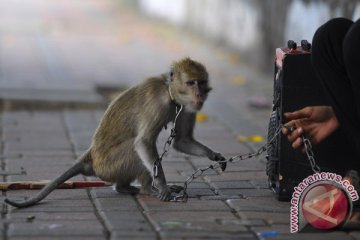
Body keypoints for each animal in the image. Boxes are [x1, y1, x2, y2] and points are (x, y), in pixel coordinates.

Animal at [4, 57, 225, 207]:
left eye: (202, 83)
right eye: (191, 83)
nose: (200, 94)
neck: (169, 93)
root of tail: (91, 157)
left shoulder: (186, 108)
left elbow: (182, 140)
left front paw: (213, 155)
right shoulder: (158, 105)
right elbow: (143, 142)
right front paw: (162, 186)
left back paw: (125, 187)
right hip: (110, 166)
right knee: (135, 149)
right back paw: (146, 189)